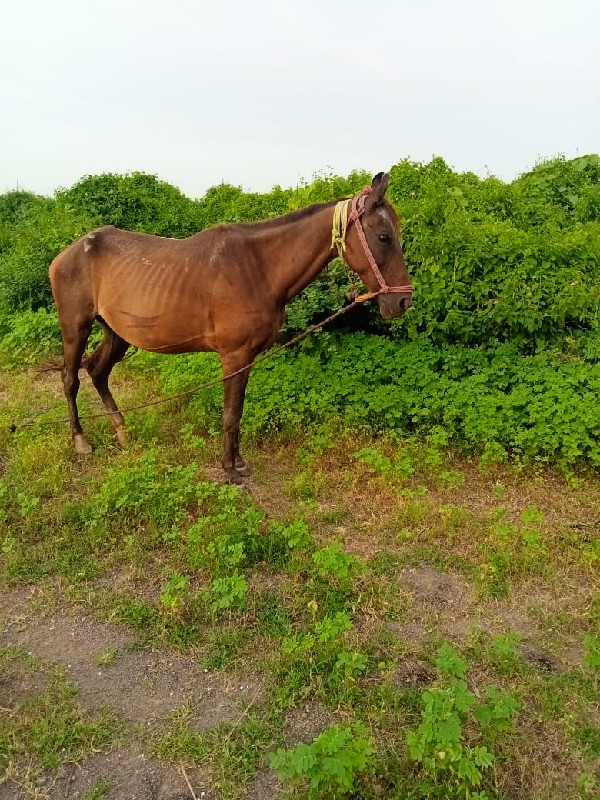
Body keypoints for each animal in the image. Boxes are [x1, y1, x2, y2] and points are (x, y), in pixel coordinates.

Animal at [49, 171, 412, 482]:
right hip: (76, 328)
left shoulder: (247, 357)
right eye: (383, 236)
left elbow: (237, 412)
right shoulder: (234, 356)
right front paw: (229, 468)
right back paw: (81, 441)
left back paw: (122, 431)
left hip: (116, 332)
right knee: (70, 379)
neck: (258, 268)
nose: (403, 301)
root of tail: (66, 254)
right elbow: (229, 414)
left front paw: (238, 462)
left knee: (97, 371)